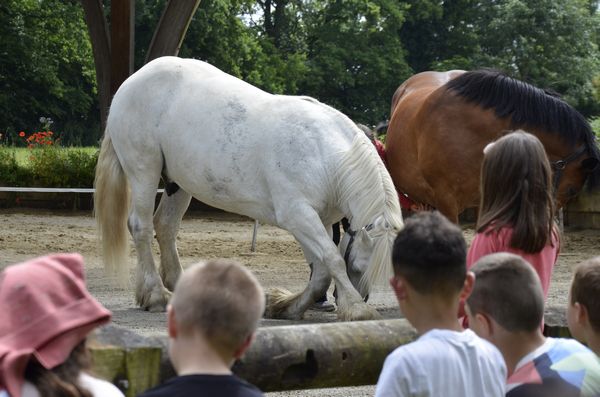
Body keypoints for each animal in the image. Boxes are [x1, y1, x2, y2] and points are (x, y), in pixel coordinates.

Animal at [94, 55, 404, 320]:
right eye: (360, 267)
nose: (360, 296)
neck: (323, 152)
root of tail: (131, 83)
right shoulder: (298, 217)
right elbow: (332, 260)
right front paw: (358, 310)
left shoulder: (321, 221)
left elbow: (321, 273)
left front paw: (285, 307)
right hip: (144, 171)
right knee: (141, 227)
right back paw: (156, 295)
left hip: (177, 183)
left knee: (166, 227)